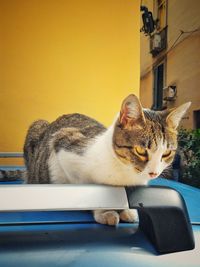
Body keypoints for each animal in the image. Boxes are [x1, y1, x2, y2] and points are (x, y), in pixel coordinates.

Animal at [0, 95, 191, 225]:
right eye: (140, 150)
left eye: (166, 153)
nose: (153, 173)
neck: (123, 174)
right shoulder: (63, 145)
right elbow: (89, 188)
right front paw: (105, 211)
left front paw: (126, 209)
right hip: (37, 126)